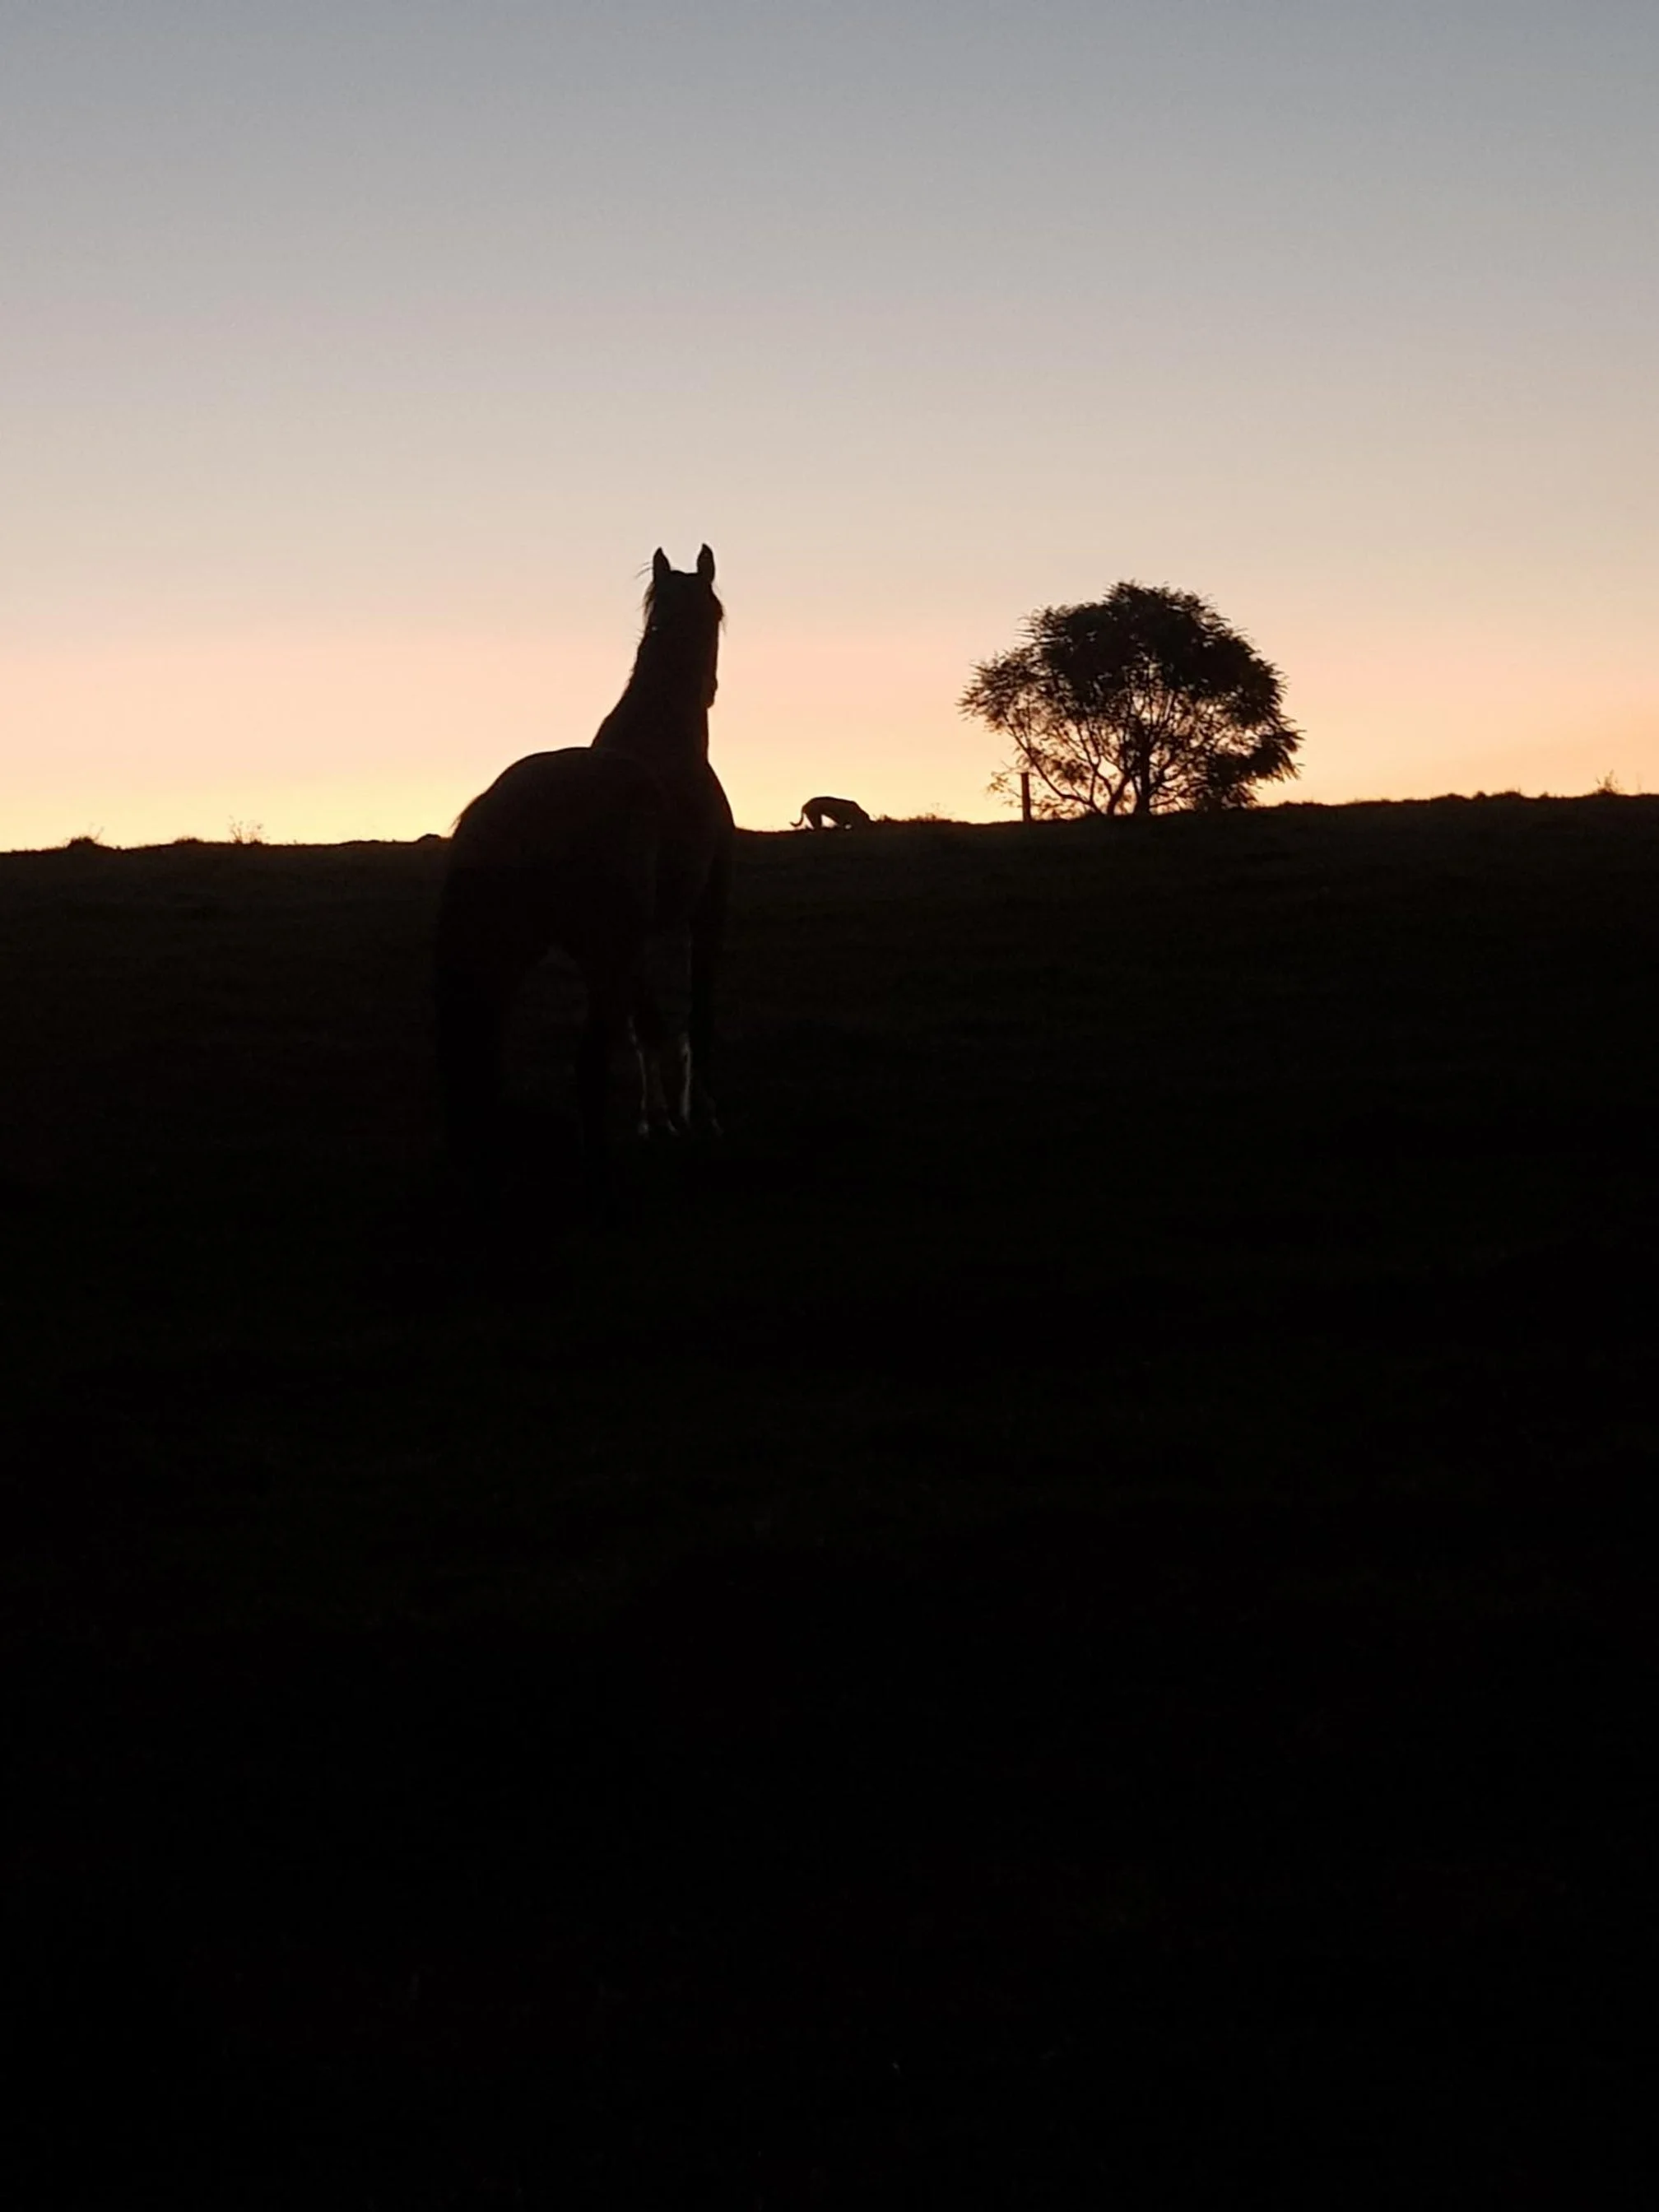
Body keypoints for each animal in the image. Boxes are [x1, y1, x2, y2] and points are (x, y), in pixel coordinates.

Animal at [435, 545, 733, 1187]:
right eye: (717, 615)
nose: (712, 688)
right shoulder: (704, 913)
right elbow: (697, 1017)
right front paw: (698, 1117)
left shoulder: (635, 942)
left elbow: (650, 1027)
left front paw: (659, 1121)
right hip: (599, 953)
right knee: (589, 1060)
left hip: (510, 953)